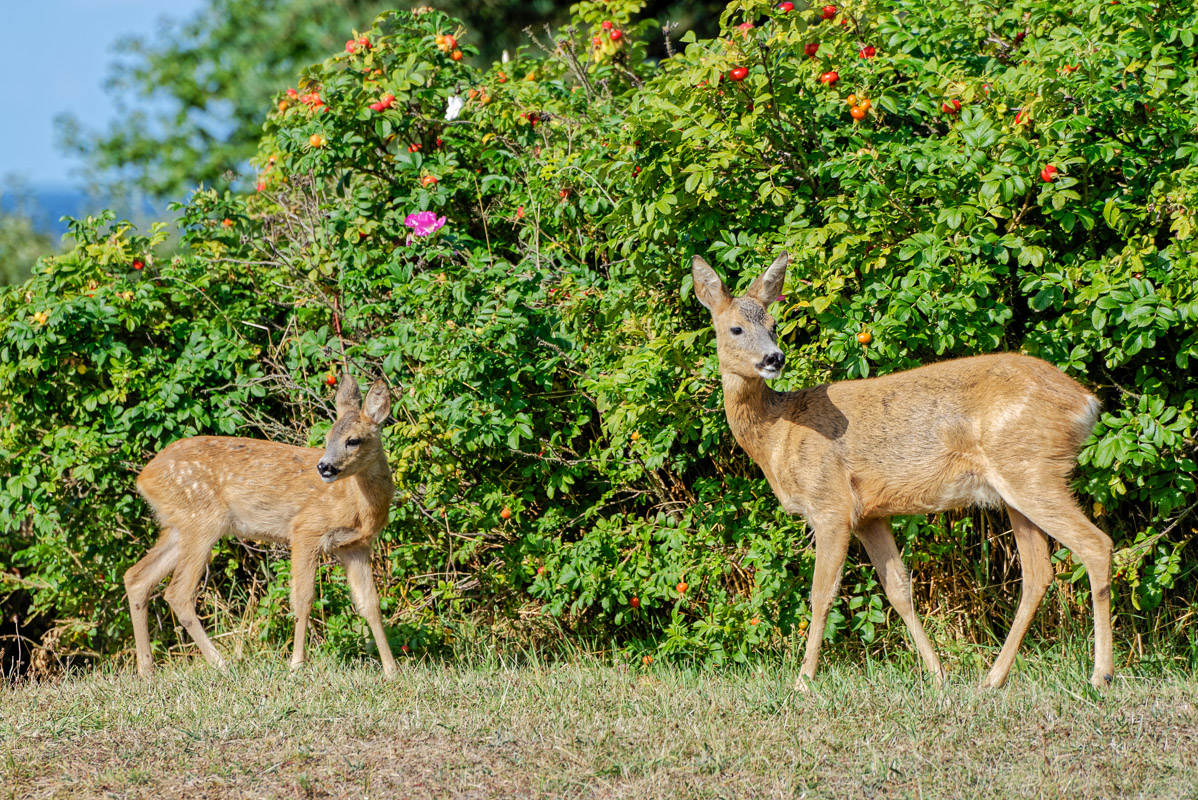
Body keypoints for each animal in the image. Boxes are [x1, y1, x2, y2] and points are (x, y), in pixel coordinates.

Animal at [125, 376, 397, 675]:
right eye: (327, 439)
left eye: (353, 440)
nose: (324, 467)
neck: (358, 505)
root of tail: (143, 477)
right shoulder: (306, 529)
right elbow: (303, 598)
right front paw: (296, 665)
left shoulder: (356, 545)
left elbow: (370, 604)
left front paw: (391, 669)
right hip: (202, 521)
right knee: (177, 593)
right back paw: (221, 664)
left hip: (180, 526)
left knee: (137, 577)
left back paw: (146, 670)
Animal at [694, 250, 1111, 689]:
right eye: (736, 327)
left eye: (774, 324)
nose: (774, 358)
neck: (778, 433)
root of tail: (1086, 403)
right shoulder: (869, 514)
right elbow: (898, 591)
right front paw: (938, 674)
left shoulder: (830, 504)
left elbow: (821, 594)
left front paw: (803, 680)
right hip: (1016, 486)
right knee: (1038, 573)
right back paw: (993, 678)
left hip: (1032, 470)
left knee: (1095, 545)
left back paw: (1100, 675)